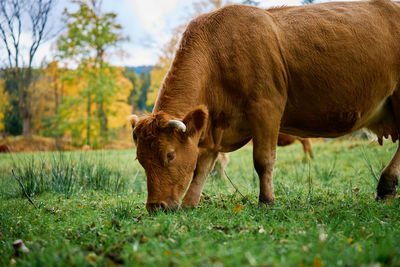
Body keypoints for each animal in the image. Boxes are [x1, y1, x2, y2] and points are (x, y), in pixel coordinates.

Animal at [130, 0, 400, 214]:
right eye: (141, 159)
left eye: (170, 155)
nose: (155, 207)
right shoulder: (215, 126)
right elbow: (202, 166)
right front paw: (190, 203)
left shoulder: (266, 107)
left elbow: (263, 159)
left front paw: (267, 200)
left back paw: (386, 186)